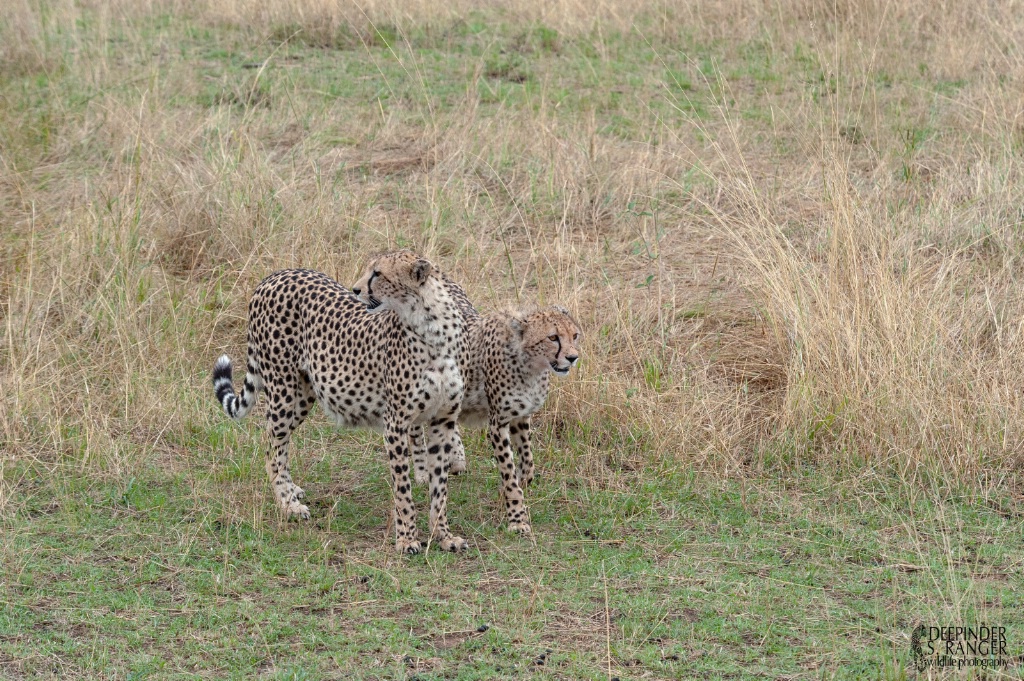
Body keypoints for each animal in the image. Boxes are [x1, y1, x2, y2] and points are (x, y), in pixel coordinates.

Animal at [214, 249, 473, 552]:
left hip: (303, 396)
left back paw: (292, 490)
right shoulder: (395, 423)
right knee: (272, 445)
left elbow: (439, 487)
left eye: (378, 273)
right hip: (283, 390)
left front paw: (443, 536)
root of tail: (277, 274)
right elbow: (403, 487)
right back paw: (288, 505)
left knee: (280, 441)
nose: (356, 289)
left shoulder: (443, 421)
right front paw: (407, 538)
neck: (432, 327)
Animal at [409, 278, 585, 536]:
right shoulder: (498, 424)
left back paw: (456, 458)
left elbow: (528, 463)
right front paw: (517, 517)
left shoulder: (520, 417)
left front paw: (513, 488)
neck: (530, 364)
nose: (573, 358)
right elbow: (508, 468)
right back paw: (422, 472)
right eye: (553, 338)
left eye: (574, 335)